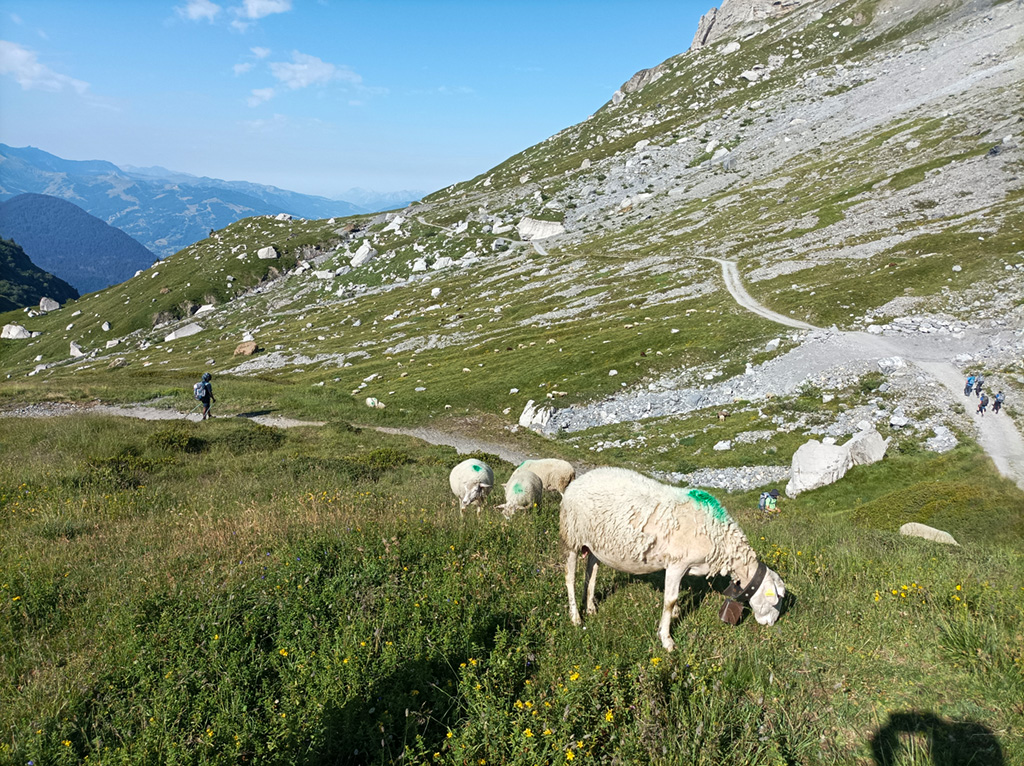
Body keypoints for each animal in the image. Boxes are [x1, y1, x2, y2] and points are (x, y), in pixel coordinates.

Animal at [560, 466, 785, 651]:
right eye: (775, 601)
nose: (771, 624)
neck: (717, 534)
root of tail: (576, 482)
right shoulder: (677, 563)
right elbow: (669, 600)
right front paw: (666, 639)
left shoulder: (683, 566)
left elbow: (676, 595)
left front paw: (676, 613)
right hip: (571, 537)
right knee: (569, 578)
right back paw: (576, 617)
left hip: (594, 544)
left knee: (591, 572)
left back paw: (590, 607)